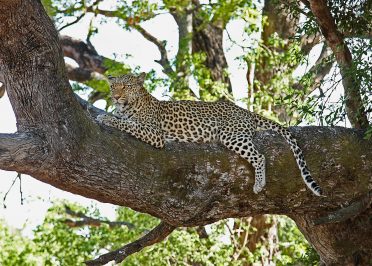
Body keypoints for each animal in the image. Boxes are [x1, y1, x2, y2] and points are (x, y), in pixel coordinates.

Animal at [96, 72, 322, 195]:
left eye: (126, 86)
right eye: (113, 86)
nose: (116, 97)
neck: (127, 106)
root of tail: (244, 110)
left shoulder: (155, 134)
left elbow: (128, 124)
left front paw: (106, 118)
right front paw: (109, 115)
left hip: (232, 135)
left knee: (259, 156)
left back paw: (259, 184)